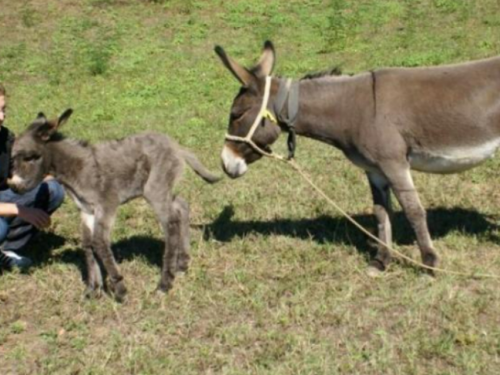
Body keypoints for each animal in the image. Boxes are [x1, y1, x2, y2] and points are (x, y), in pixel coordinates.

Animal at [8, 109, 220, 302]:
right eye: (12, 158)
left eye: (31, 157)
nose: (15, 187)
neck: (77, 170)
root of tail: (176, 146)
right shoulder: (86, 210)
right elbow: (88, 244)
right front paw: (93, 290)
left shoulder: (107, 204)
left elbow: (99, 243)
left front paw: (119, 289)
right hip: (161, 190)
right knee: (181, 206)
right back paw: (182, 265)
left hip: (155, 190)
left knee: (171, 223)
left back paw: (164, 284)